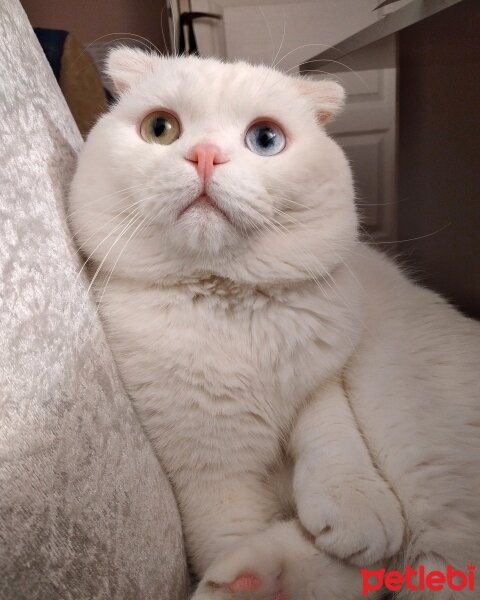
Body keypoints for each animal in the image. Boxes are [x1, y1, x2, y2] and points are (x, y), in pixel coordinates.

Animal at [67, 48, 480, 600]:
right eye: (161, 129)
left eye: (265, 139)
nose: (204, 156)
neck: (230, 306)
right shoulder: (211, 470)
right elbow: (233, 531)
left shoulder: (323, 381)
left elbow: (330, 435)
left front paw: (354, 505)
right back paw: (252, 579)